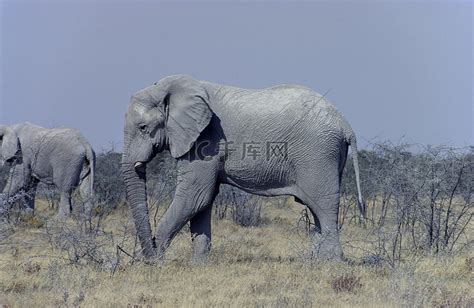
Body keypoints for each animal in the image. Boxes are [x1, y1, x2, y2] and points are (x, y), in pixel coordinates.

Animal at [121, 75, 362, 262]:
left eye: (143, 127)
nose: (147, 254)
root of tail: (344, 123)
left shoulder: (206, 141)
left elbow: (195, 197)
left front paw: (147, 263)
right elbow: (203, 202)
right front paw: (198, 264)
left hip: (317, 153)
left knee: (323, 205)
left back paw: (329, 263)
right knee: (316, 208)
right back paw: (315, 260)